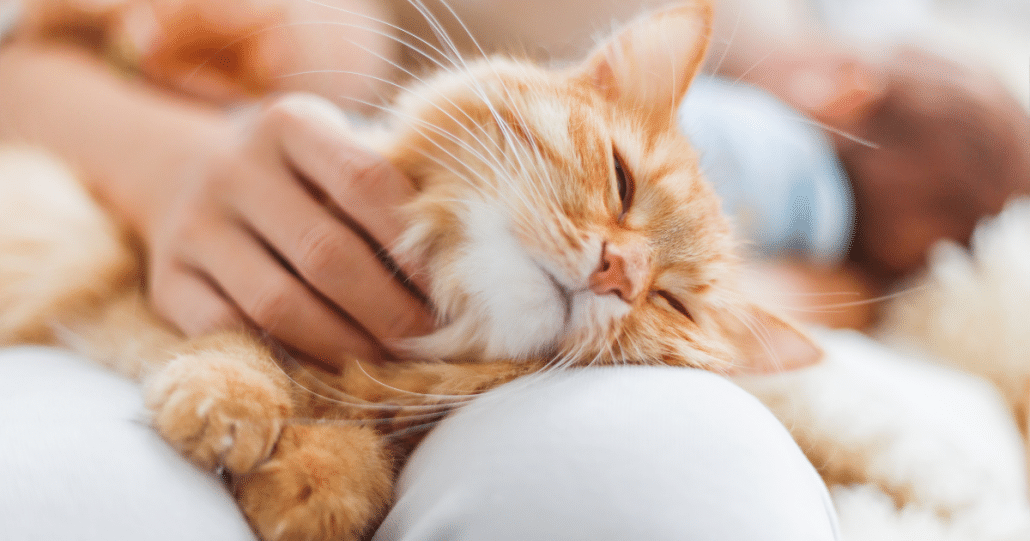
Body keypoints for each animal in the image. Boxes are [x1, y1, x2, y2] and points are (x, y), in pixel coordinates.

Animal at [0, 2, 819, 535]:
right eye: (622, 182)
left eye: (671, 303)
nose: (620, 271)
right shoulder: (126, 265)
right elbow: (234, 337)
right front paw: (231, 404)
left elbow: (352, 449)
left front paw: (321, 481)